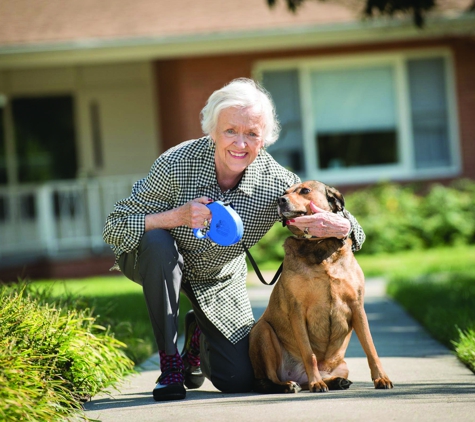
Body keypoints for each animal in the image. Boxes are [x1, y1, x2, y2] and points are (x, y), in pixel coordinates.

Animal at [249, 181, 394, 392]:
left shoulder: (357, 306)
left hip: (343, 365)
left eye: (305, 190)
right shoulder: (297, 311)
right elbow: (310, 355)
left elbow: (370, 348)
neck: (318, 244)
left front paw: (381, 378)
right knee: (267, 379)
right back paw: (290, 385)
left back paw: (336, 381)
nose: (280, 200)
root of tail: (297, 376)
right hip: (262, 331)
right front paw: (316, 382)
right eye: (284, 192)